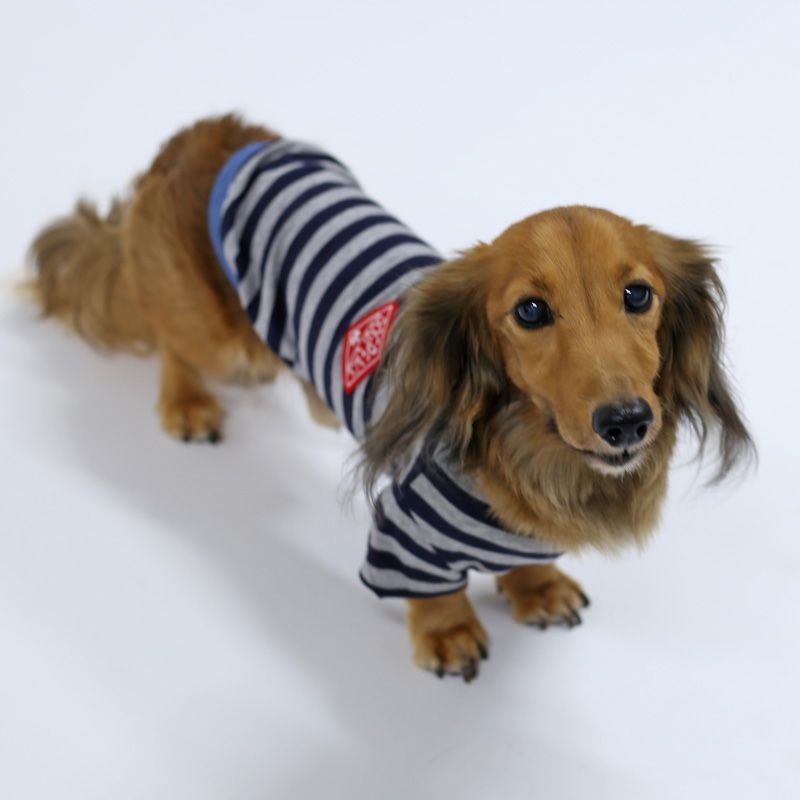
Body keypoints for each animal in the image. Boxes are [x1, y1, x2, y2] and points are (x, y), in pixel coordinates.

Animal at [28, 114, 753, 681]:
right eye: (530, 310)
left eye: (638, 294)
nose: (626, 422)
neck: (534, 453)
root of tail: (203, 134)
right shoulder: (406, 532)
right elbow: (434, 592)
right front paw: (448, 634)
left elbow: (528, 562)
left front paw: (537, 590)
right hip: (211, 333)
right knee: (171, 340)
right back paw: (187, 405)